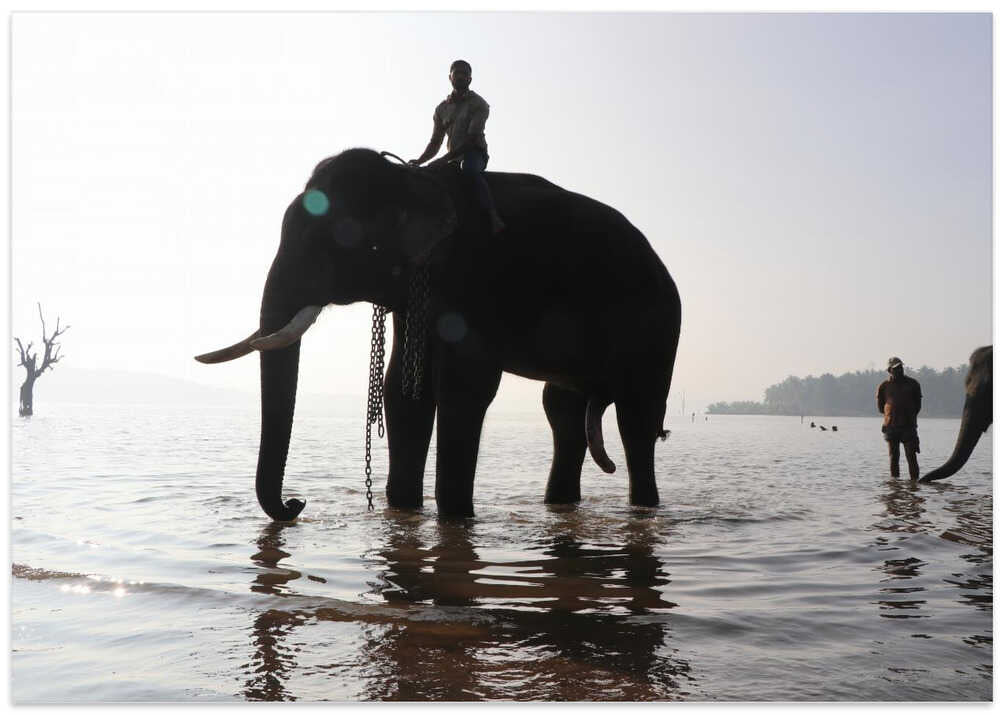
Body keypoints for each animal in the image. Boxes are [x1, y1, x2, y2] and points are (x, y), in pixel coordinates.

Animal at [196, 148, 682, 521]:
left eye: (332, 240)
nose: (296, 504)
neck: (414, 179)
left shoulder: (475, 279)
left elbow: (464, 386)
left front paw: (455, 518)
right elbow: (402, 388)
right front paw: (403, 512)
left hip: (658, 329)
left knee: (637, 418)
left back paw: (644, 508)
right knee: (562, 413)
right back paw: (559, 505)